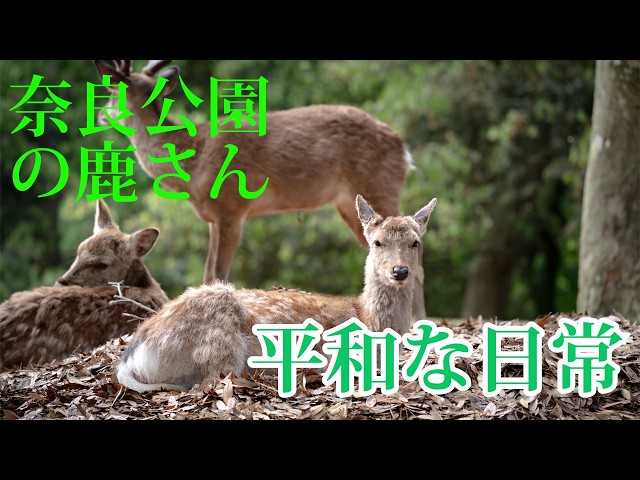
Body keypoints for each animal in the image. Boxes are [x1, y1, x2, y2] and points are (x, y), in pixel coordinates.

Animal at [92, 60, 428, 321]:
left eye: (110, 92)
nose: (100, 115)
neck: (194, 164)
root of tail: (404, 150)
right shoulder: (214, 217)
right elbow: (207, 271)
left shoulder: (232, 207)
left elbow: (218, 271)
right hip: (350, 203)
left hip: (380, 184)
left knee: (417, 261)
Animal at [115, 194, 437, 393]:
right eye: (378, 242)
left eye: (415, 243)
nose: (399, 271)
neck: (367, 318)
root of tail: (132, 357)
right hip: (220, 340)